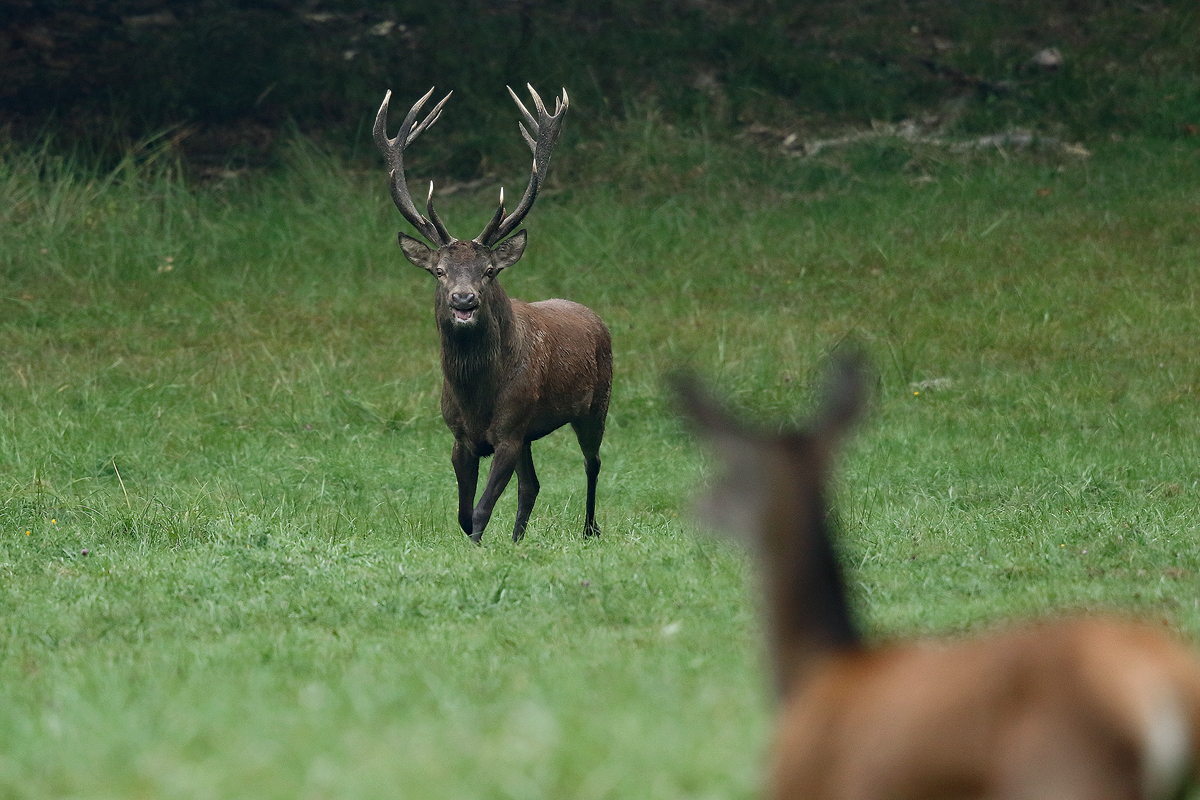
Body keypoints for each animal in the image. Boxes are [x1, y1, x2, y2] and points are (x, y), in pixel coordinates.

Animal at [374, 84, 614, 542]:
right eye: (439, 271)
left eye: (489, 271)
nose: (463, 300)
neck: (476, 397)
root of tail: (595, 317)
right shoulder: (461, 437)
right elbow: (464, 513)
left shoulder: (509, 430)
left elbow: (482, 510)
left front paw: (479, 548)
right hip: (532, 433)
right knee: (531, 484)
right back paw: (519, 540)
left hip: (597, 403)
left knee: (592, 462)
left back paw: (590, 529)